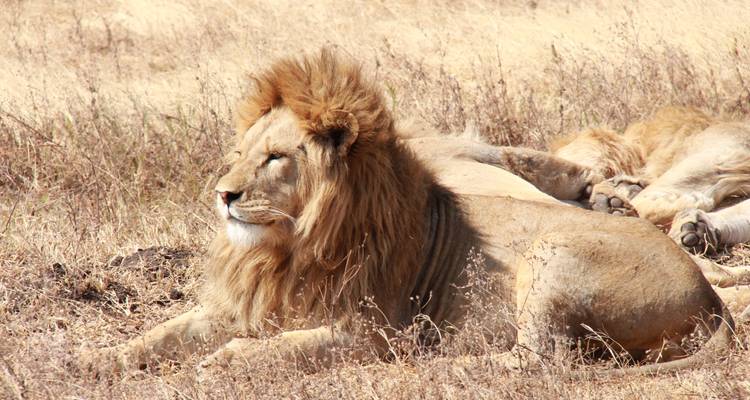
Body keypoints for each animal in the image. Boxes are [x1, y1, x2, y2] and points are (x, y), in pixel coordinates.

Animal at [82, 50, 735, 376]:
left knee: (541, 359)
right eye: (240, 154)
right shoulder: (242, 305)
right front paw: (97, 360)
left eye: (275, 158)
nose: (223, 195)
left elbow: (276, 349)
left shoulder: (368, 333)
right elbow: (158, 334)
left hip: (553, 252)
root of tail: (710, 298)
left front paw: (220, 363)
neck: (284, 251)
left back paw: (451, 361)